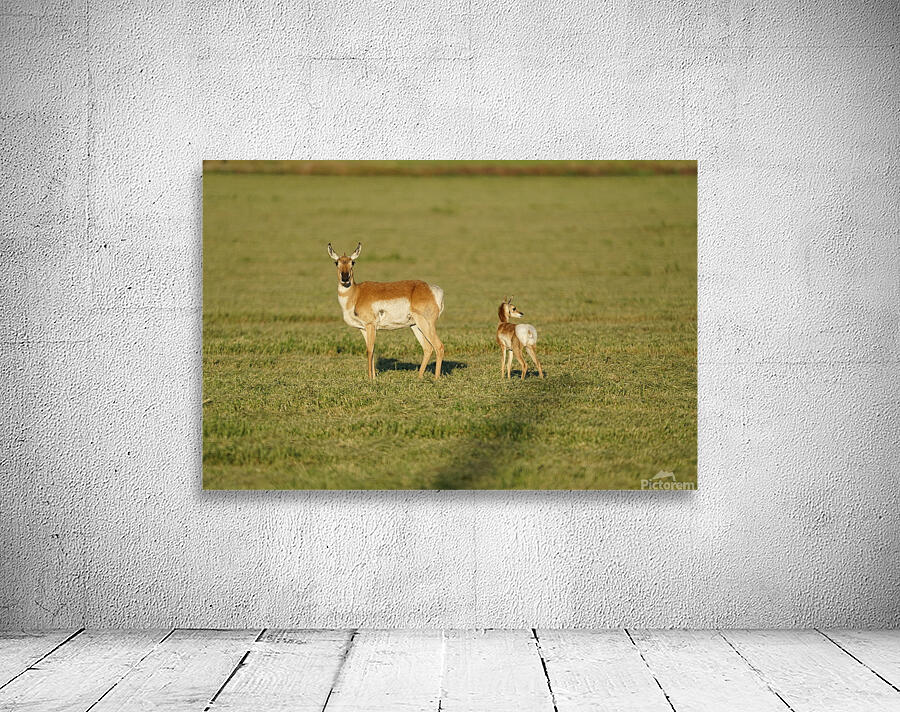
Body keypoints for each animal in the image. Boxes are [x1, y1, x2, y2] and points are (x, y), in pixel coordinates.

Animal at [327, 243, 445, 380]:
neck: (356, 294)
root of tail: (432, 289)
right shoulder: (363, 329)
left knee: (438, 346)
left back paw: (436, 378)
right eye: (336, 262)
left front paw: (370, 378)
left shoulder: (370, 325)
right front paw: (373, 377)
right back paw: (419, 377)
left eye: (353, 262)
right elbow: (371, 349)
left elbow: (370, 350)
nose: (345, 278)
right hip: (415, 326)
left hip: (425, 324)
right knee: (427, 348)